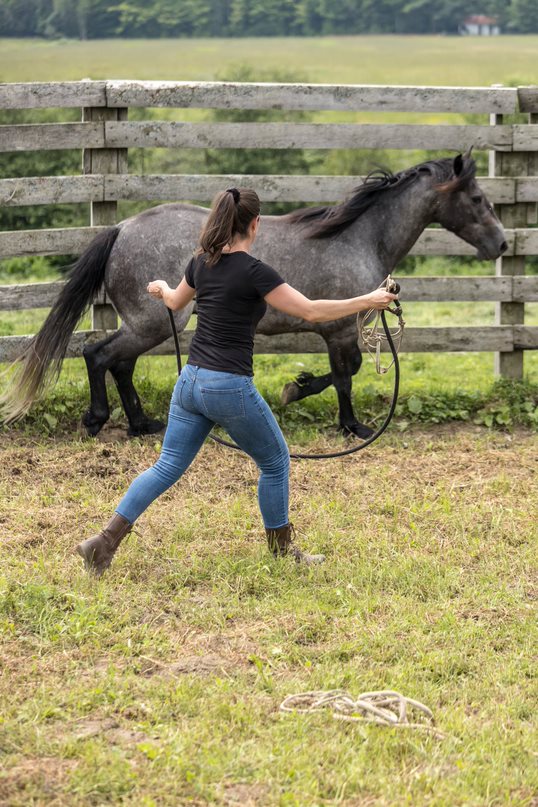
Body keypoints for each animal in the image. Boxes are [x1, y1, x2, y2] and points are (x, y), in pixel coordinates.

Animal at [3, 151, 506, 436]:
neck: (358, 237)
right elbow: (347, 375)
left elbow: (344, 374)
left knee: (119, 363)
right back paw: (98, 420)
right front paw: (345, 421)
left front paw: (302, 390)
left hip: (150, 324)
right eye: (477, 199)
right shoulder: (339, 328)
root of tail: (122, 227)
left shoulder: (335, 330)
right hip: (153, 321)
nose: (501, 244)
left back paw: (142, 425)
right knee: (99, 355)